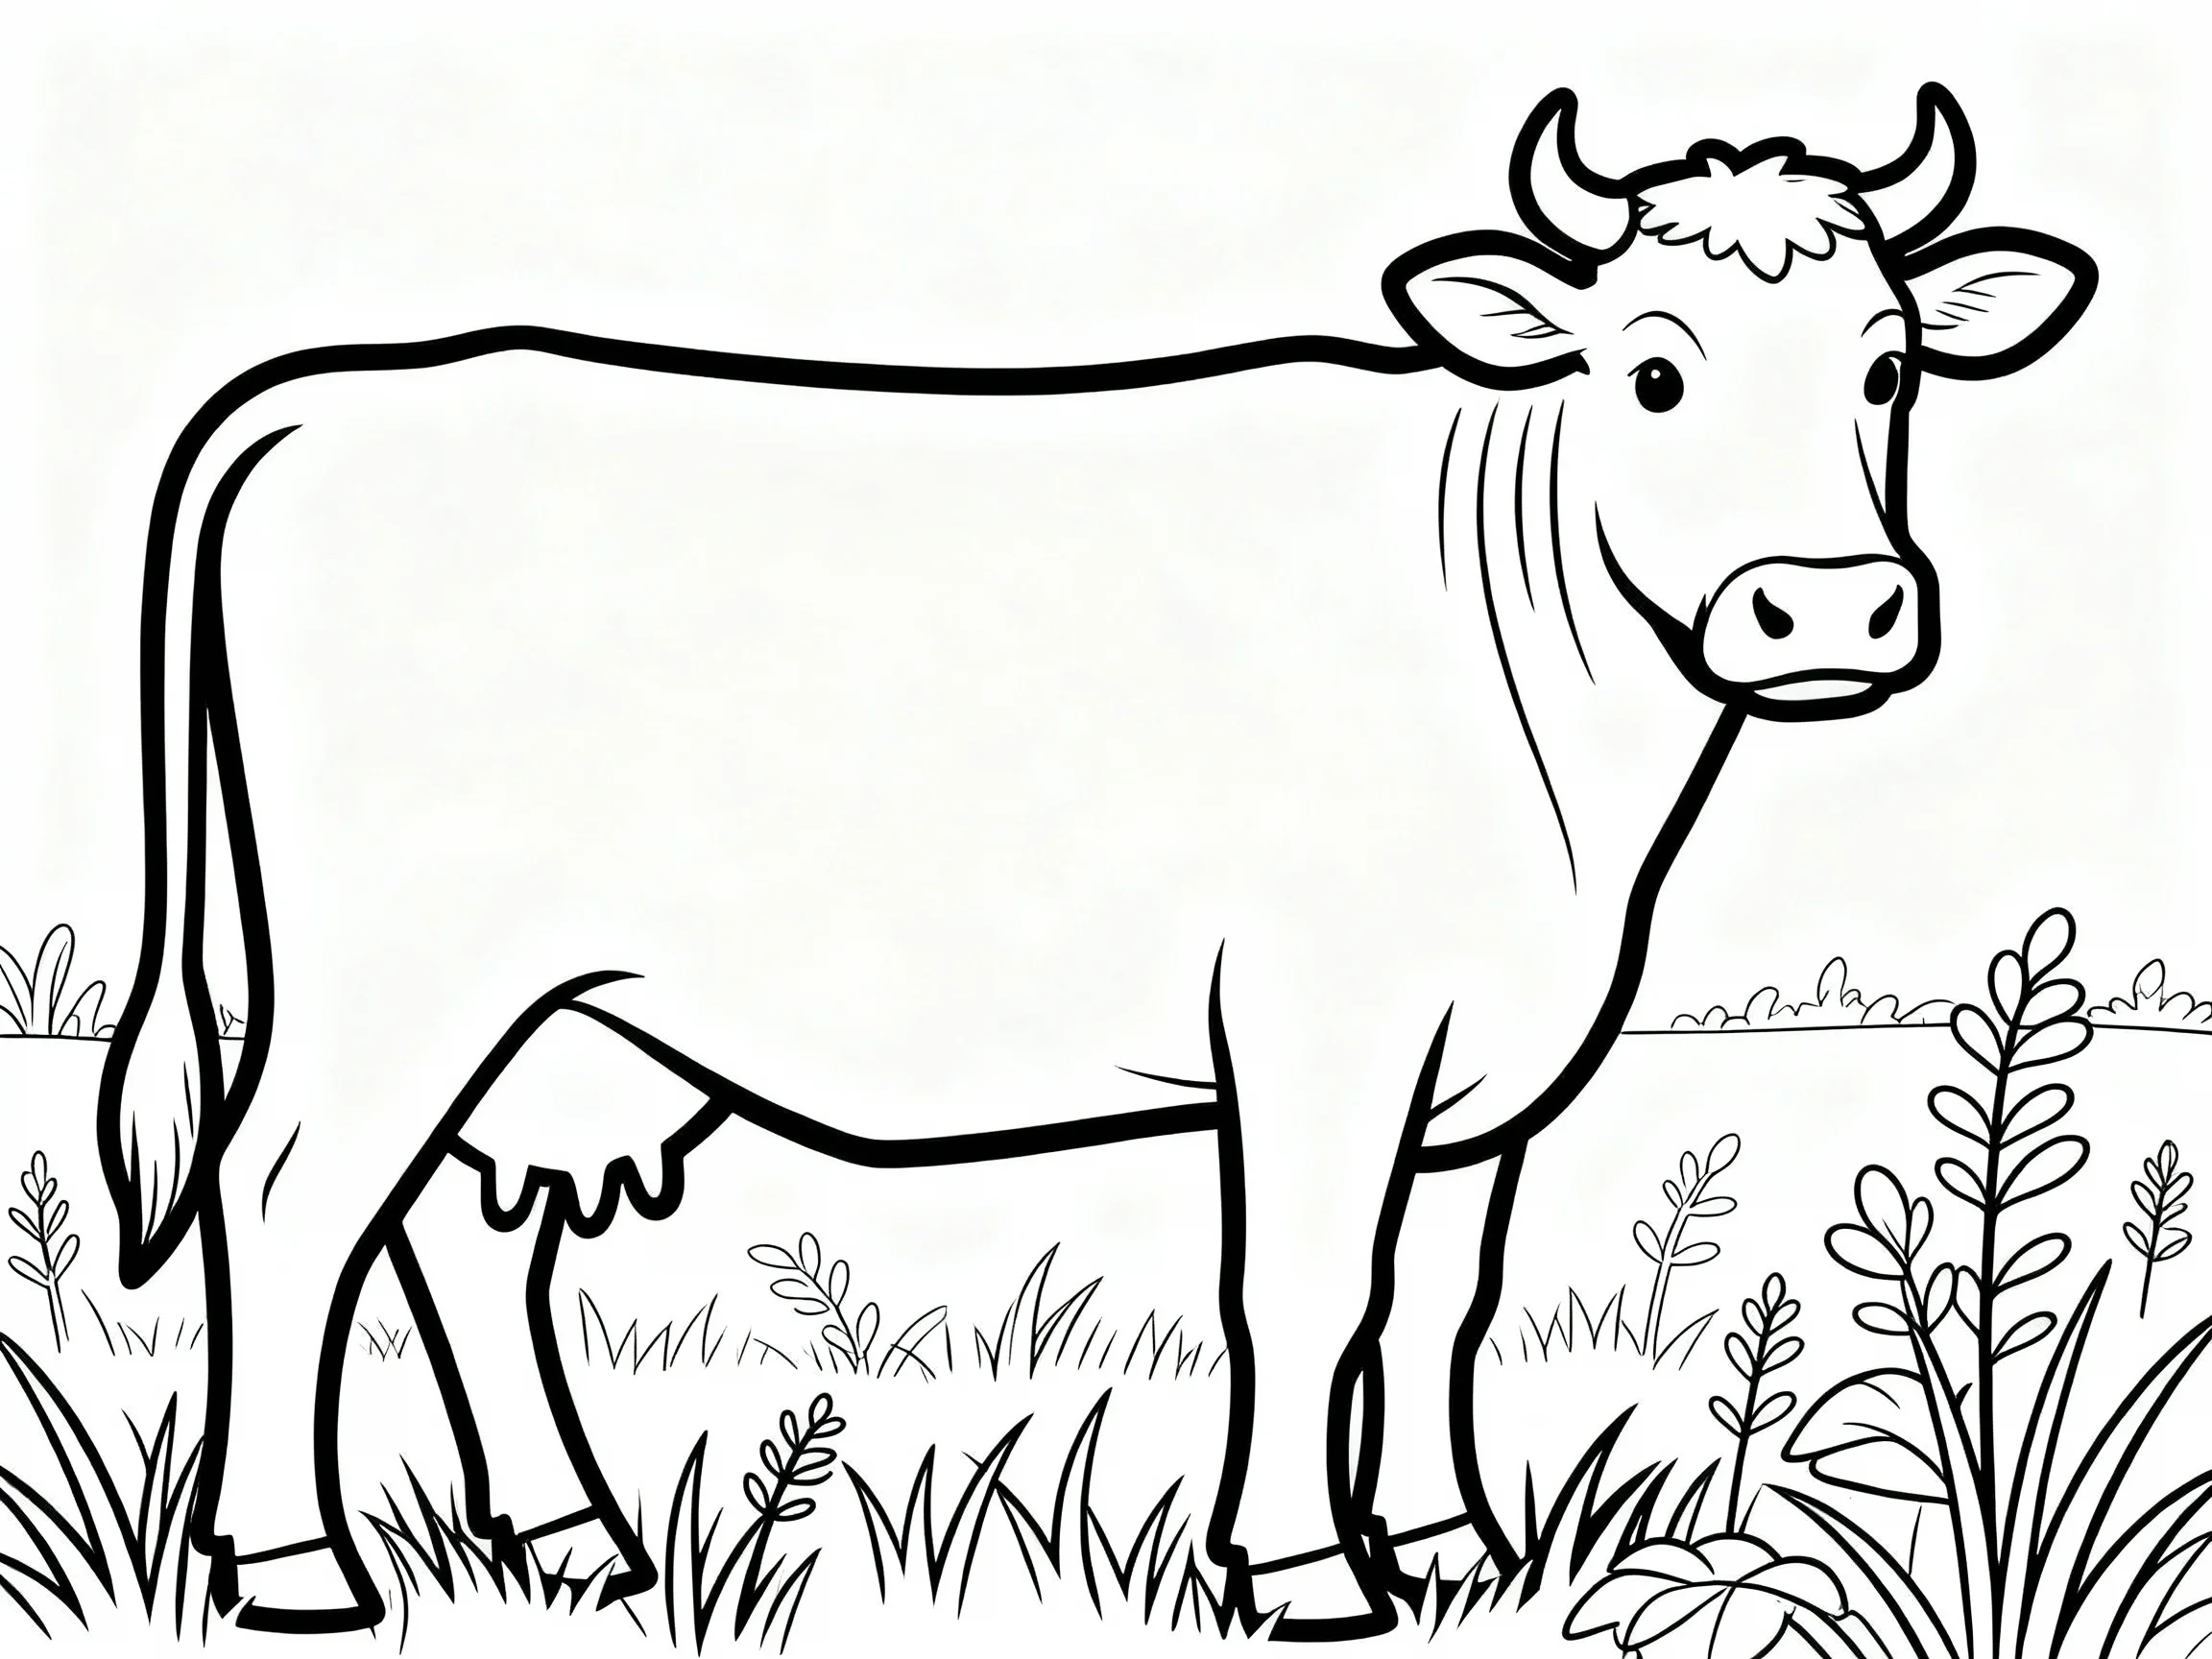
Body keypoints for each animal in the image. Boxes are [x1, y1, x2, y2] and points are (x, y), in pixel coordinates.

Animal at [96, 85, 2090, 1639]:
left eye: (1889, 367)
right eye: (1651, 372)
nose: (1822, 610)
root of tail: (337, 388)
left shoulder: (1481, 1069)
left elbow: (1441, 1297)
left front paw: (1451, 1547)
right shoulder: (1317, 1022)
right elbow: (1305, 1287)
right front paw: (1306, 1570)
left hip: (548, 1011)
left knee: (444, 1225)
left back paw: (577, 1537)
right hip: (393, 973)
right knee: (284, 1197)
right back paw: (293, 1564)